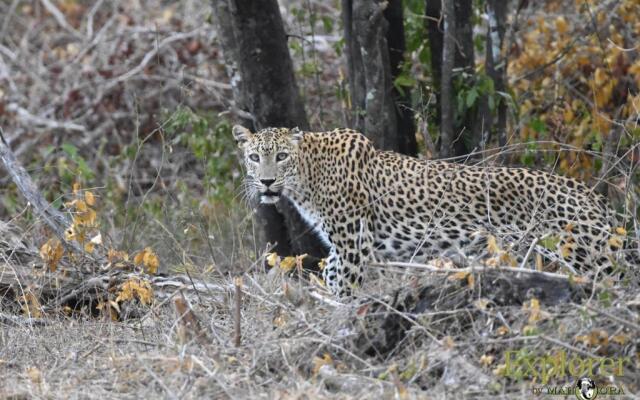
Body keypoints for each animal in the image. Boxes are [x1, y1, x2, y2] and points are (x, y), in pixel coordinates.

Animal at [232, 125, 624, 296]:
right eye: (254, 157)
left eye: (282, 156)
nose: (267, 182)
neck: (308, 177)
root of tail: (590, 194)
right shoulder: (348, 249)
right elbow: (330, 270)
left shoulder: (354, 247)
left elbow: (344, 289)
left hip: (586, 252)